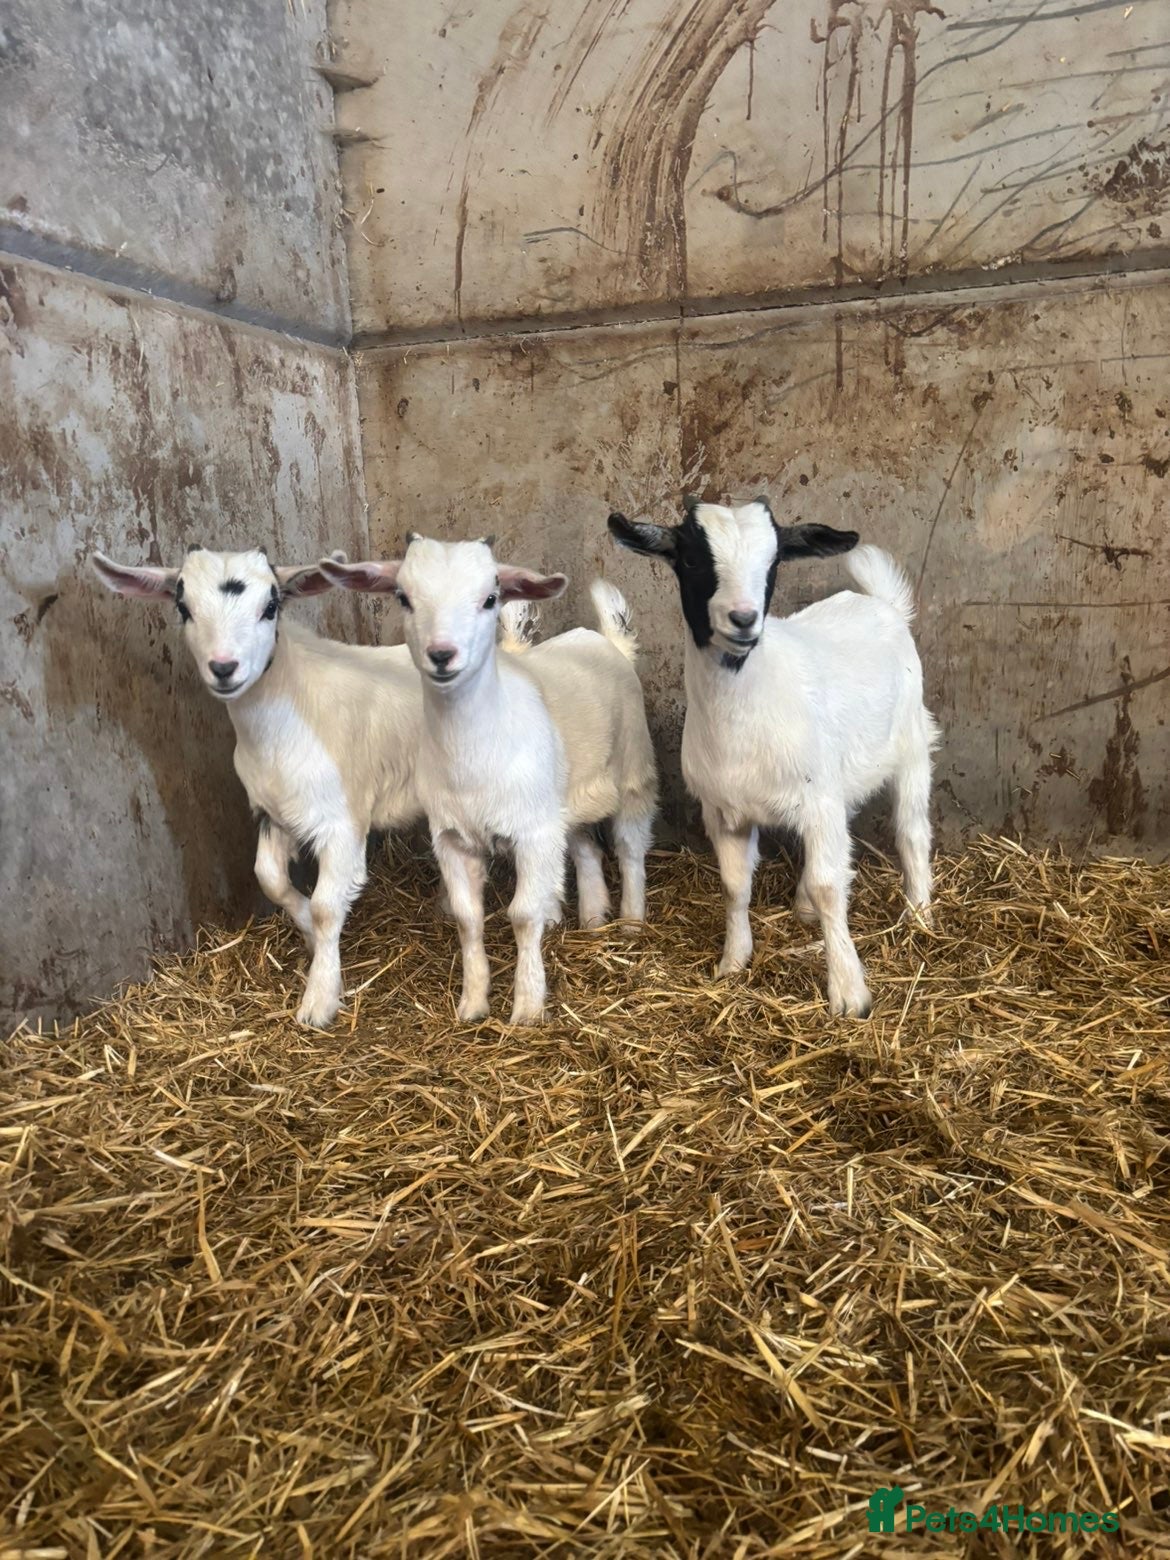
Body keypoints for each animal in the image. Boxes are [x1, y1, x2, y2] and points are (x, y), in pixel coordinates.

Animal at [90, 545, 423, 1028]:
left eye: (270, 607)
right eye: (183, 607)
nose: (224, 668)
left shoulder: (343, 821)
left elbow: (326, 905)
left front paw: (319, 998)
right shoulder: (272, 811)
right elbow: (270, 880)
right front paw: (308, 936)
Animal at [321, 537, 658, 1025]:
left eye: (490, 598)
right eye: (403, 597)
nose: (442, 654)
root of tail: (606, 641)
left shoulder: (532, 833)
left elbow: (523, 915)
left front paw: (528, 1008)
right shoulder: (453, 837)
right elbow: (468, 918)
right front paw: (472, 1004)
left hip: (634, 767)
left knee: (631, 846)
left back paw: (631, 923)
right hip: (565, 799)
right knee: (586, 848)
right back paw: (594, 918)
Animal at [609, 497, 939, 1018]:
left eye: (775, 562)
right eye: (691, 559)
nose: (743, 619)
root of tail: (881, 604)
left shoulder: (817, 799)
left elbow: (830, 886)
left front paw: (849, 993)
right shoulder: (725, 812)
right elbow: (735, 885)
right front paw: (733, 962)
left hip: (911, 744)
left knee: (911, 830)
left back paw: (919, 914)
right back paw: (804, 906)